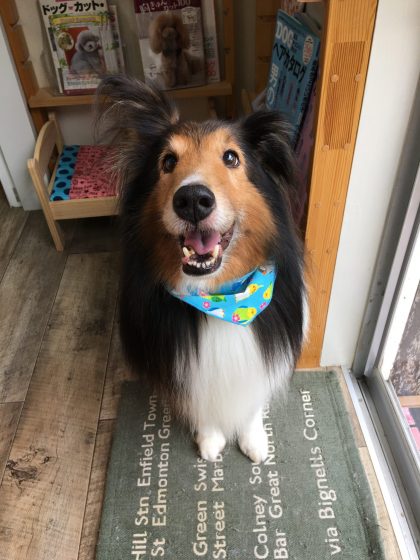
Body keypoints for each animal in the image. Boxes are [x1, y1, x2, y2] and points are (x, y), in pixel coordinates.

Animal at [97, 75, 307, 463]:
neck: (221, 299)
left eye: (231, 157)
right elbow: (201, 401)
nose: (193, 199)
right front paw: (210, 440)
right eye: (167, 161)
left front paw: (254, 440)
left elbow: (251, 400)